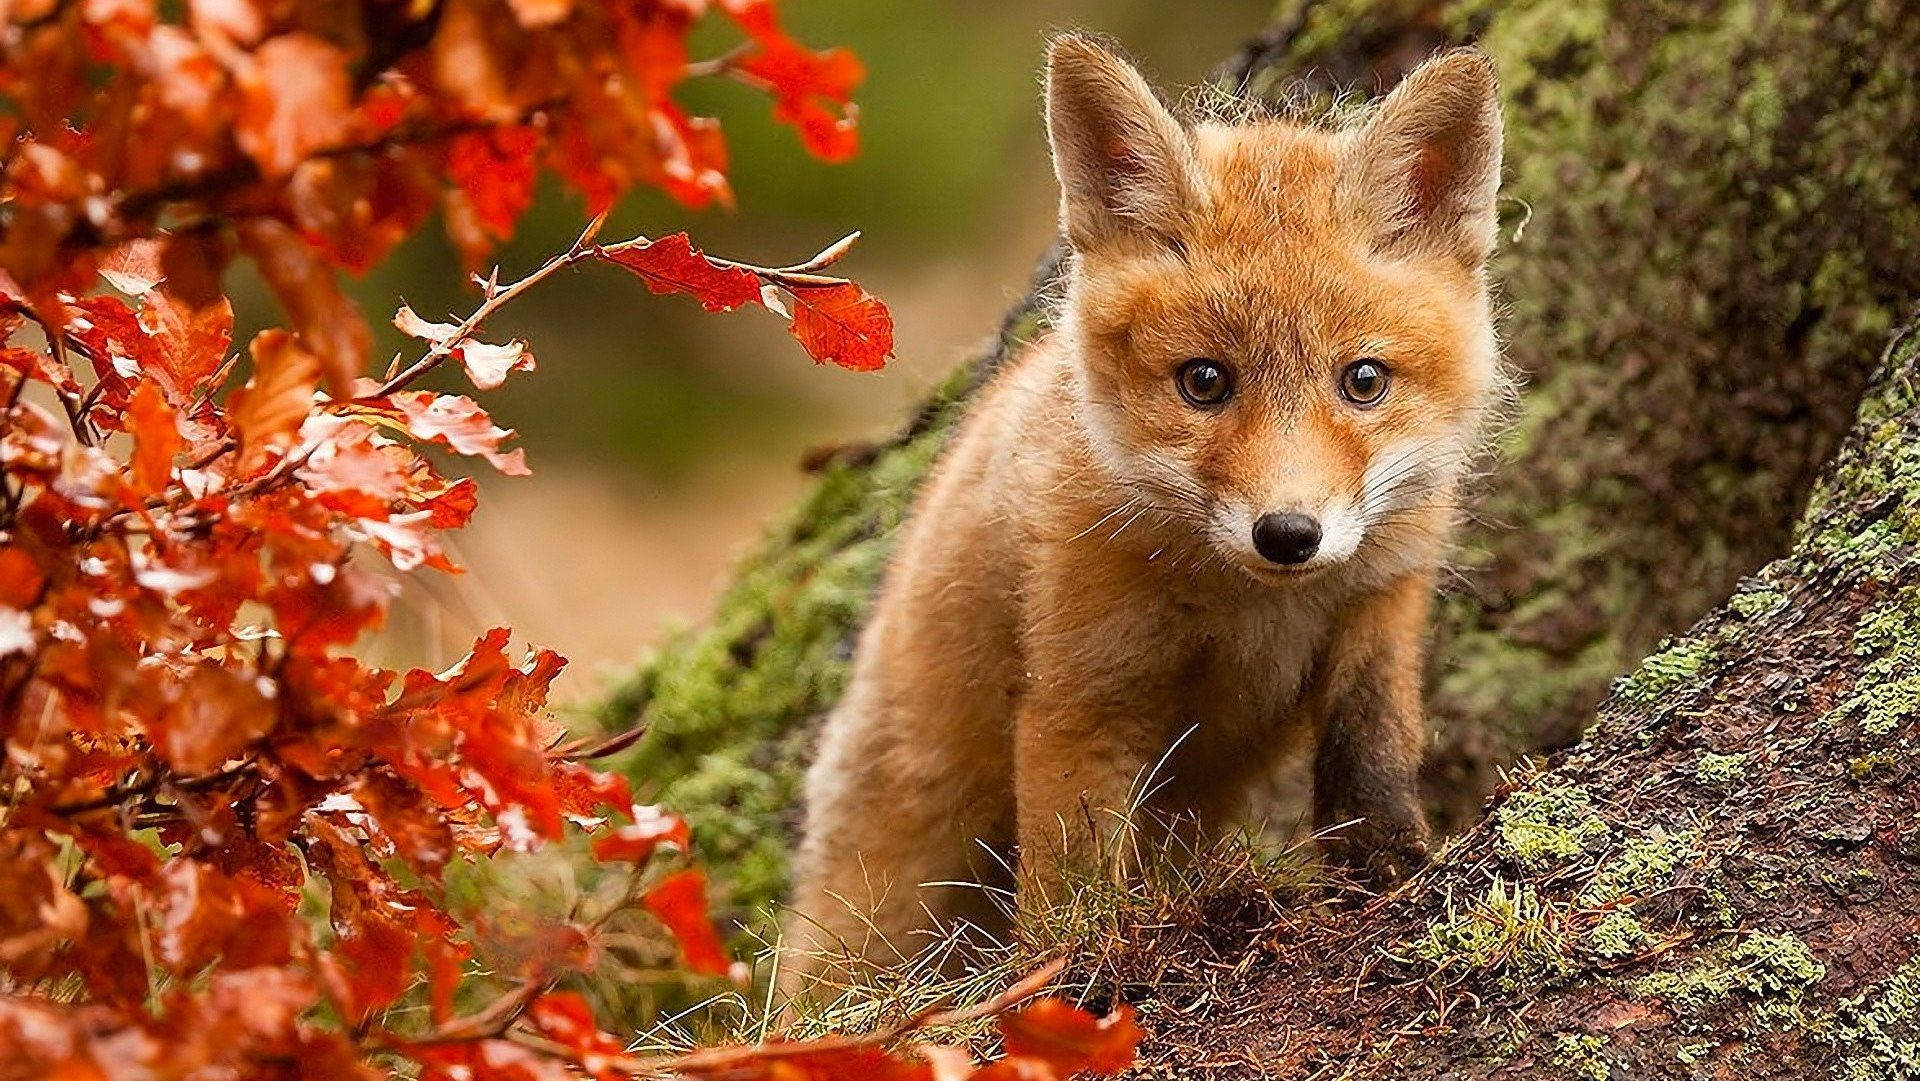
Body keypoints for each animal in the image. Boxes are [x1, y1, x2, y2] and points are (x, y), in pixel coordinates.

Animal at [779, 38, 1497, 990]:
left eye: (1365, 380)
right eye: (1205, 381)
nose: (1288, 535)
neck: (1253, 609)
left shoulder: (1380, 609)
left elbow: (1371, 759)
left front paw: (1391, 873)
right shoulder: (1082, 694)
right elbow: (1071, 878)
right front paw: (1073, 975)